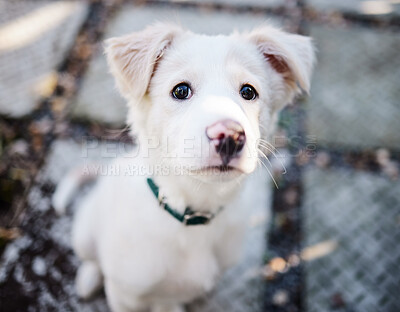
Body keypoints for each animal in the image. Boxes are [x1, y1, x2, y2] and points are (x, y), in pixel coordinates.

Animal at [53, 22, 314, 312]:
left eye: (248, 92)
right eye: (180, 90)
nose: (230, 136)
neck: (193, 215)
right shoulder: (125, 296)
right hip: (84, 233)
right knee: (92, 259)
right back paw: (88, 278)